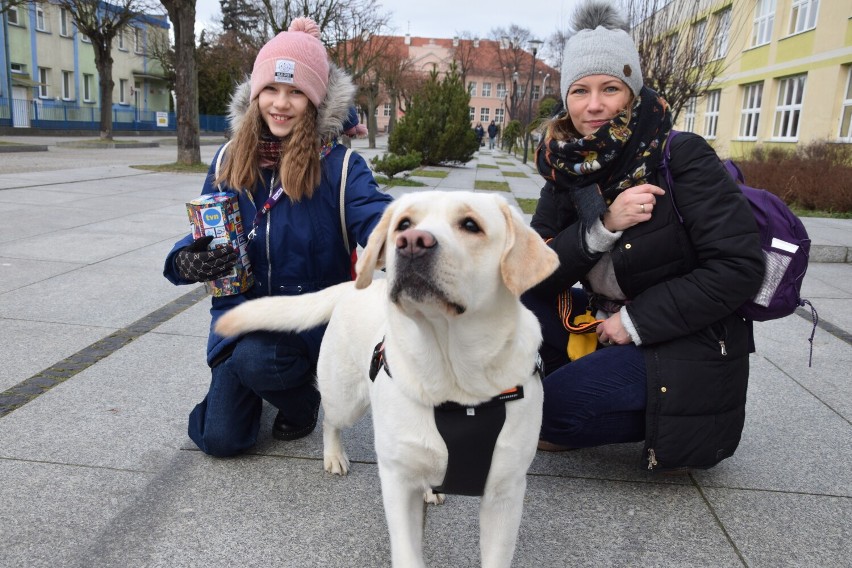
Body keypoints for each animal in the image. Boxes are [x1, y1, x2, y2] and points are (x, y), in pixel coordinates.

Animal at [215, 192, 560, 568]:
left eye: (471, 225)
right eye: (404, 223)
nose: (410, 242)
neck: (454, 375)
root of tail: (355, 287)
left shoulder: (505, 494)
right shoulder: (397, 481)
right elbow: (408, 552)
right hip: (346, 399)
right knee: (330, 420)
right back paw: (334, 456)